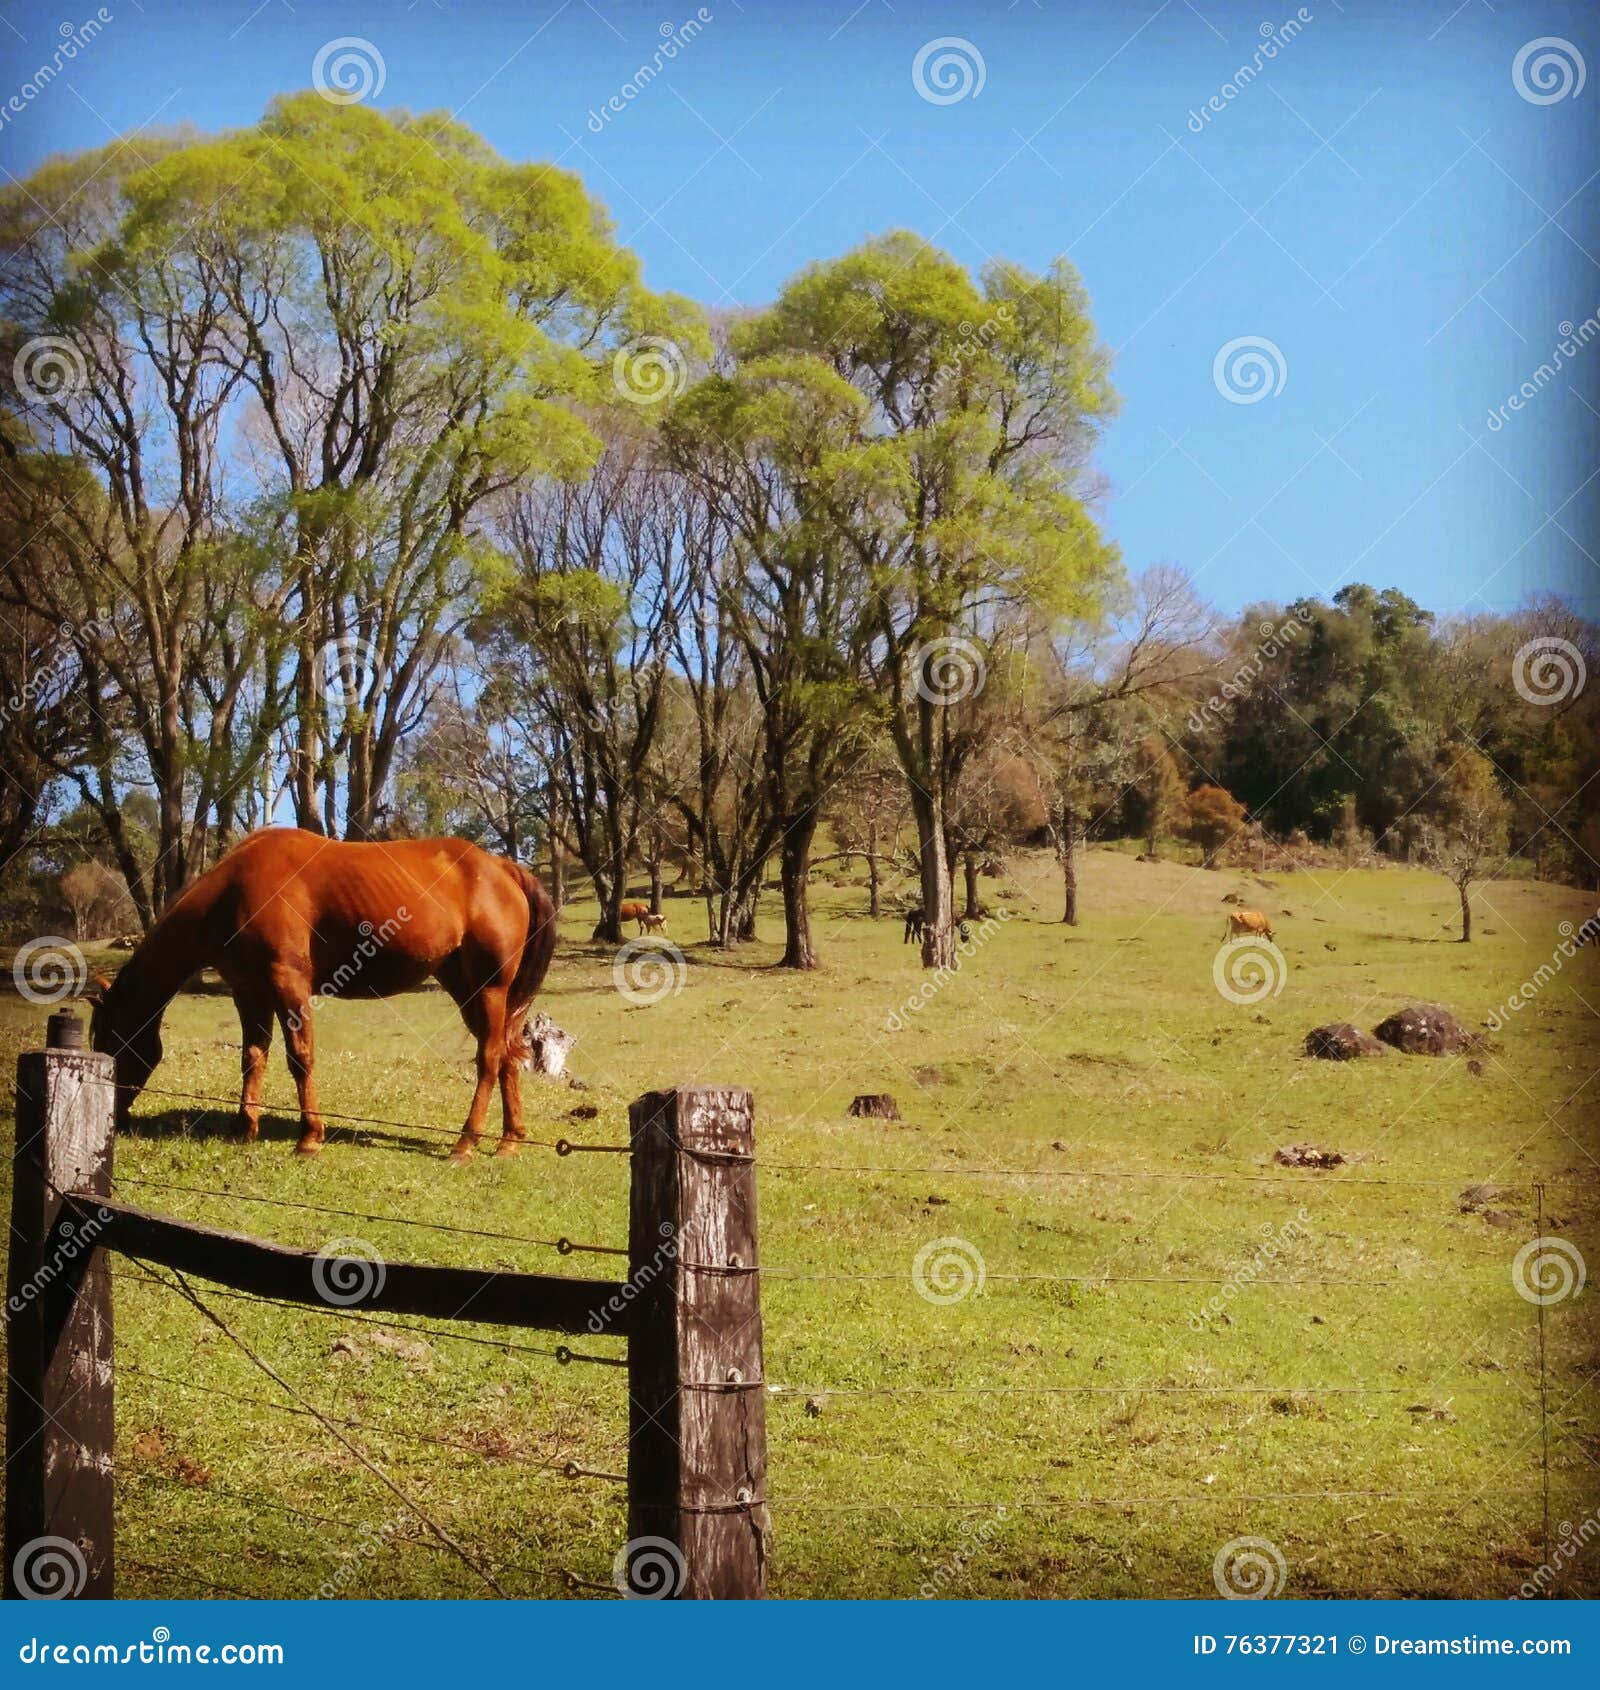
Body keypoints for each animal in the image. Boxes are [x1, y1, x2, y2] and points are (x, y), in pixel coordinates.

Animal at [93, 828, 560, 1162]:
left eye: (111, 1042)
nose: (113, 1118)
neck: (235, 890)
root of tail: (502, 868)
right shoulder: (249, 992)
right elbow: (253, 1058)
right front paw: (244, 1129)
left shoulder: (289, 985)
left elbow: (300, 1058)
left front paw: (310, 1138)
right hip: (469, 991)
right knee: (507, 1055)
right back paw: (509, 1141)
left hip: (489, 989)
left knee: (490, 1059)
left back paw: (465, 1143)